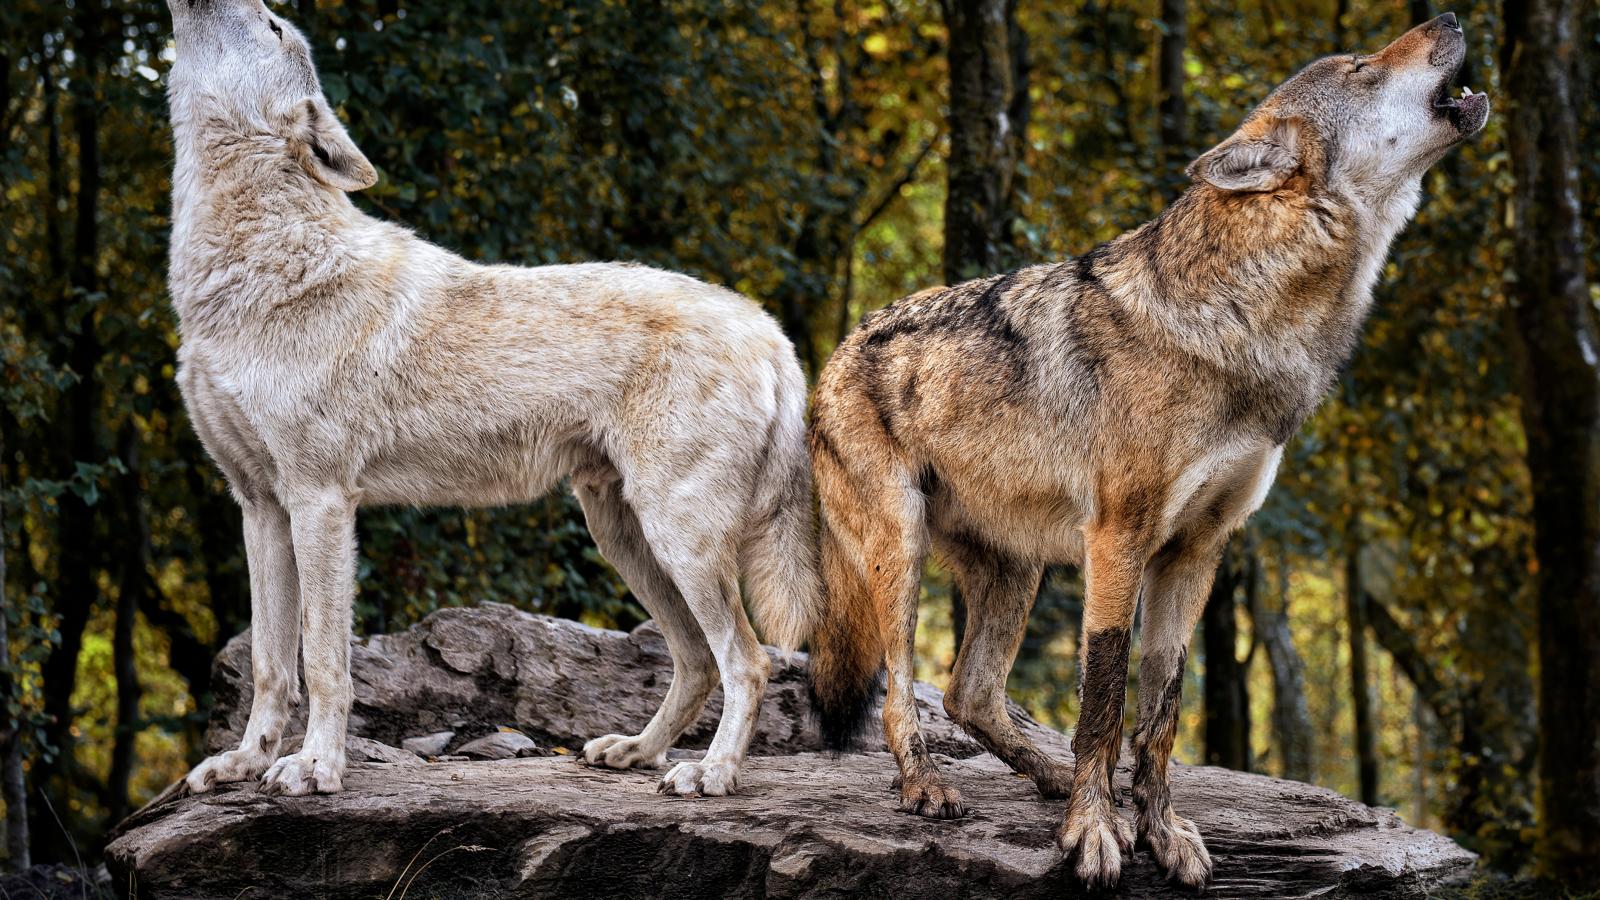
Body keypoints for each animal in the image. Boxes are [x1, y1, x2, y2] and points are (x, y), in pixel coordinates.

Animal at [812, 12, 1484, 883]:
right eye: (1363, 69)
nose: (1452, 18)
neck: (1247, 319)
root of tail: (833, 350)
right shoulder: (1118, 539)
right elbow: (1104, 695)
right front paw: (1096, 830)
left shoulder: (1199, 549)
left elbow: (1162, 705)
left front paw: (1160, 830)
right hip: (902, 549)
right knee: (900, 690)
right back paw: (928, 786)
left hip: (1017, 572)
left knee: (970, 693)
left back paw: (1046, 775)